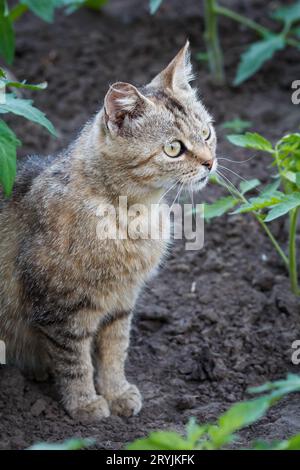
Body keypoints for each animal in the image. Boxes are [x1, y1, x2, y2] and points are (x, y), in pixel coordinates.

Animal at [0, 42, 216, 420]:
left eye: (206, 133)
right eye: (173, 148)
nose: (210, 162)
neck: (133, 215)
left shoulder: (121, 303)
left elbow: (115, 352)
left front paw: (117, 393)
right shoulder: (62, 311)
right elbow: (76, 362)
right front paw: (85, 403)